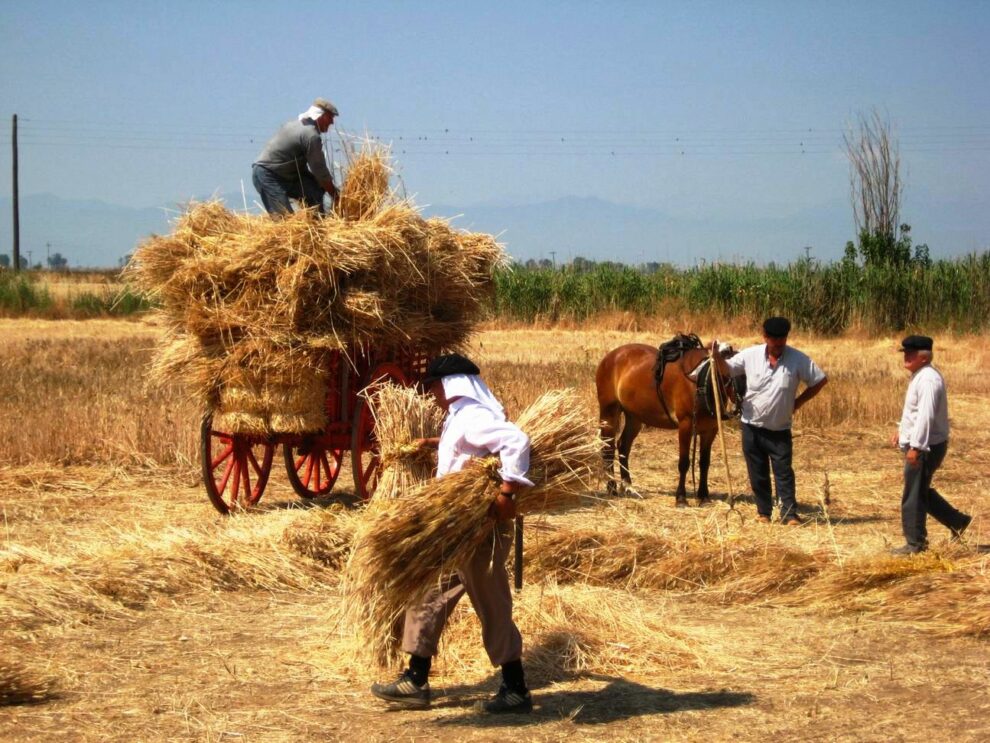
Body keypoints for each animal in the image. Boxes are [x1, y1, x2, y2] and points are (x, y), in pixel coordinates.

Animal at [596, 338, 736, 506]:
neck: (702, 381)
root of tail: (610, 357)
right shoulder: (685, 426)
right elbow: (684, 463)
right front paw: (681, 497)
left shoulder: (710, 430)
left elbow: (704, 463)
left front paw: (703, 496)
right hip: (609, 412)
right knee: (608, 448)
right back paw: (612, 488)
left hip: (634, 417)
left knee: (623, 446)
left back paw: (628, 486)